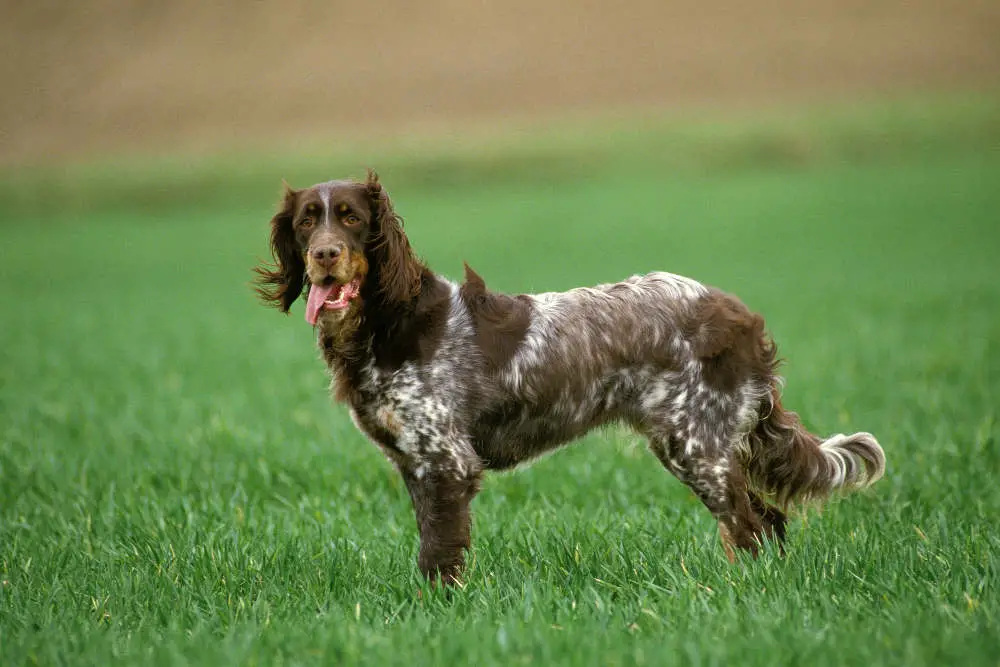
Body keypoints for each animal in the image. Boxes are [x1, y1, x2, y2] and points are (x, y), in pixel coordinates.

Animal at [254, 171, 888, 584]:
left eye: (352, 218)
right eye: (307, 221)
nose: (325, 255)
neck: (385, 323)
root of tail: (740, 316)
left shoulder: (447, 462)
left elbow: (440, 555)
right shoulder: (415, 463)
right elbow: (432, 547)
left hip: (695, 445)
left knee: (750, 526)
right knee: (765, 522)